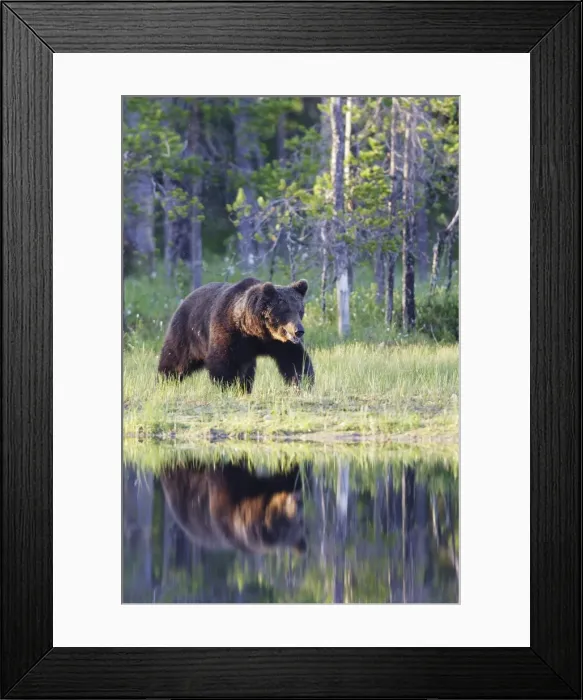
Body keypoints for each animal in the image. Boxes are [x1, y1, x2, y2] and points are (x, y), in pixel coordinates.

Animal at [157, 276, 315, 393]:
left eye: (300, 310)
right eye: (285, 311)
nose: (299, 331)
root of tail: (185, 299)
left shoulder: (279, 343)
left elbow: (295, 360)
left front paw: (303, 384)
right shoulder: (229, 332)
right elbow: (223, 362)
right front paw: (228, 387)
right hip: (186, 333)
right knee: (175, 359)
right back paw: (164, 381)